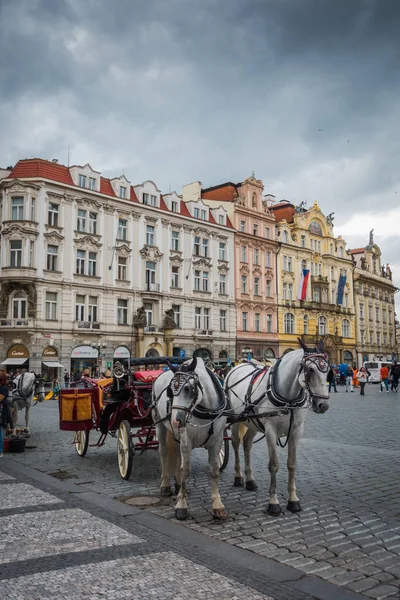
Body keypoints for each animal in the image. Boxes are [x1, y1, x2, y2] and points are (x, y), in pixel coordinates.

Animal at [152, 356, 228, 520]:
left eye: (187, 389)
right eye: (170, 391)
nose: (175, 420)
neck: (206, 409)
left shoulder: (217, 441)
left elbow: (214, 470)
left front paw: (217, 505)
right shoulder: (187, 440)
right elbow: (185, 470)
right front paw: (181, 505)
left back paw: (178, 485)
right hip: (160, 425)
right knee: (164, 452)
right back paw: (165, 485)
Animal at [227, 340, 330, 512]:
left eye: (328, 369)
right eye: (310, 369)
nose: (323, 405)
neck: (288, 398)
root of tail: (237, 366)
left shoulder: (296, 431)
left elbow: (292, 464)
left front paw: (293, 499)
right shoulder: (270, 431)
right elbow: (273, 465)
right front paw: (273, 502)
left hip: (252, 422)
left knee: (247, 444)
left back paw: (250, 479)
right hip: (236, 420)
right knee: (235, 443)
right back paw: (238, 476)